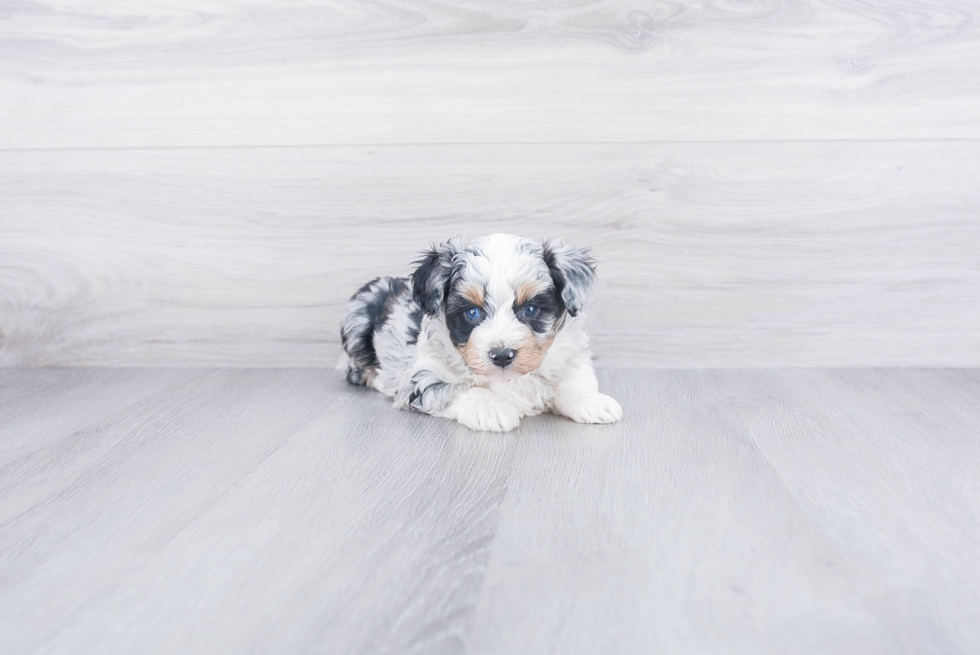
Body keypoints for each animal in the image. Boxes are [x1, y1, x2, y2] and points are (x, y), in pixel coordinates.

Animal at [340, 233, 624, 434]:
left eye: (530, 309)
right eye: (472, 313)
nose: (502, 355)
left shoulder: (569, 358)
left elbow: (576, 380)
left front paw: (593, 402)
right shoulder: (422, 378)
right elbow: (461, 388)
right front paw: (492, 408)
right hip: (356, 321)